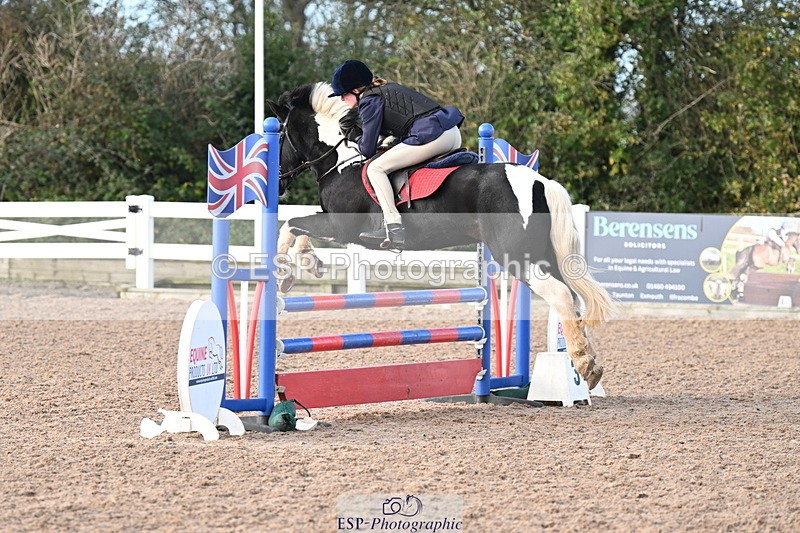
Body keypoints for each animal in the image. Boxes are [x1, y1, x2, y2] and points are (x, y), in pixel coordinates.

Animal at [268, 82, 614, 389]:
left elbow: (291, 224)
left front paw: (285, 274)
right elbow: (300, 228)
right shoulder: (333, 223)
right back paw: (590, 362)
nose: (280, 183)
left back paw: (583, 363)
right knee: (572, 296)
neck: (341, 161)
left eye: (280, 135)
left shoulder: (341, 226)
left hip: (515, 256)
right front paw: (309, 264)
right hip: (544, 254)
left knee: (560, 294)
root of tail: (540, 181)